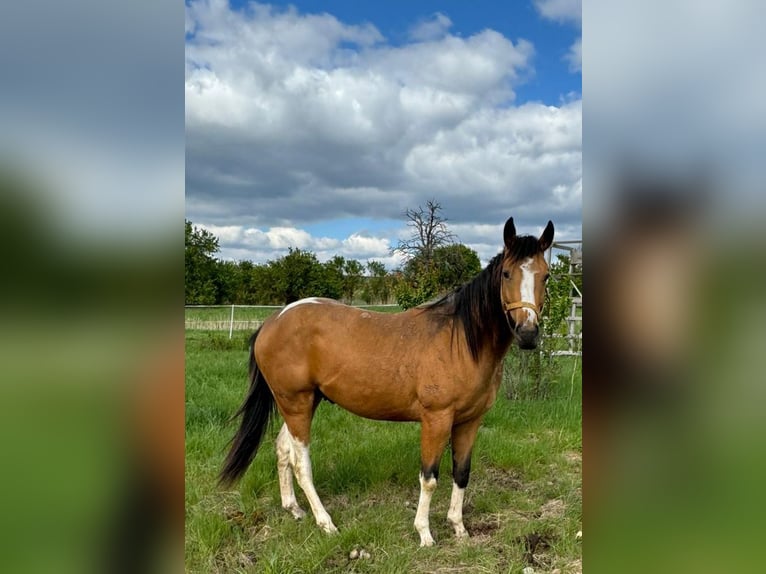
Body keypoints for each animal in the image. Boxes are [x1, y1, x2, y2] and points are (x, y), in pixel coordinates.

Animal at [219, 217, 556, 548]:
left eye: (546, 276)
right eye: (507, 273)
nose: (527, 333)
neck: (460, 340)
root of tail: (272, 322)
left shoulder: (470, 421)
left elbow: (461, 473)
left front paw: (459, 528)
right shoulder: (436, 419)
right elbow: (429, 478)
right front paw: (425, 533)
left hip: (302, 402)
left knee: (282, 449)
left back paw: (294, 509)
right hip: (296, 402)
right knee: (301, 463)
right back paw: (326, 523)